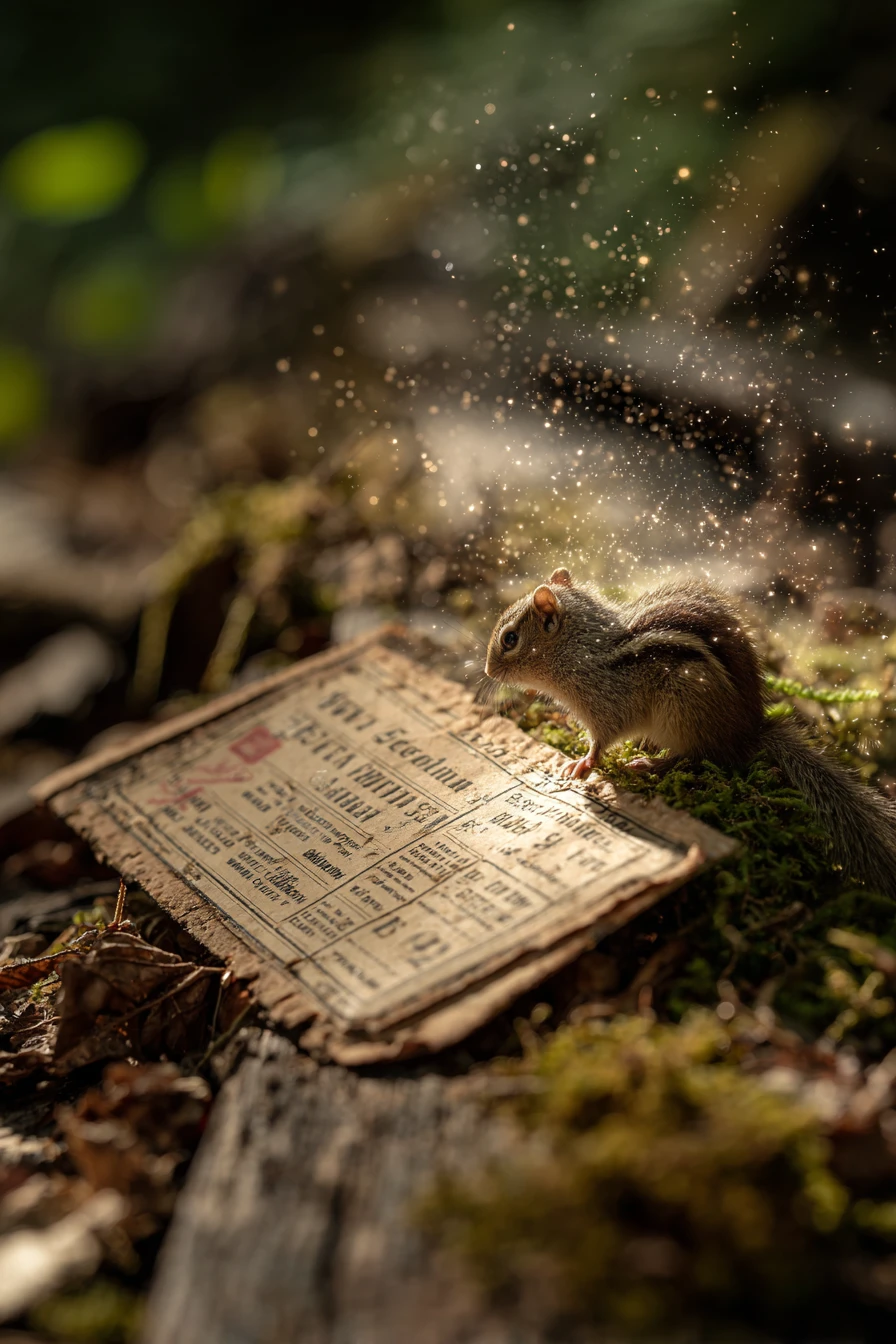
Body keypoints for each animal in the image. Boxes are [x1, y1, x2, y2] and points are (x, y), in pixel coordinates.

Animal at [485, 567, 896, 899]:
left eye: (509, 639)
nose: (488, 671)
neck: (580, 651)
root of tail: (748, 733)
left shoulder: (606, 706)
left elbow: (601, 741)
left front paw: (582, 764)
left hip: (681, 710)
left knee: (697, 756)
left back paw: (650, 764)